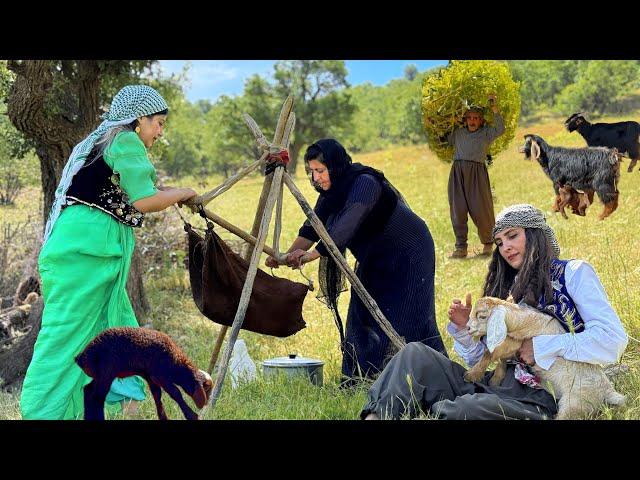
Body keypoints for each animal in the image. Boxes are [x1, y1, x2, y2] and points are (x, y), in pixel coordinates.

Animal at [75, 326, 214, 420]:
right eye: (206, 388)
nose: (207, 403)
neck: (177, 365)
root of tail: (83, 356)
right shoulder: (161, 376)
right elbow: (176, 394)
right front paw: (192, 415)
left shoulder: (151, 378)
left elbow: (158, 397)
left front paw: (163, 417)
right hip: (106, 373)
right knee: (96, 397)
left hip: (101, 375)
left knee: (88, 390)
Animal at [464, 296, 624, 420]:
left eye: (482, 316)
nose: (467, 328)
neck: (524, 321)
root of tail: (609, 392)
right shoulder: (512, 345)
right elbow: (499, 358)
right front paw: (495, 380)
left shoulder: (516, 343)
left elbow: (489, 353)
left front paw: (471, 375)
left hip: (574, 404)